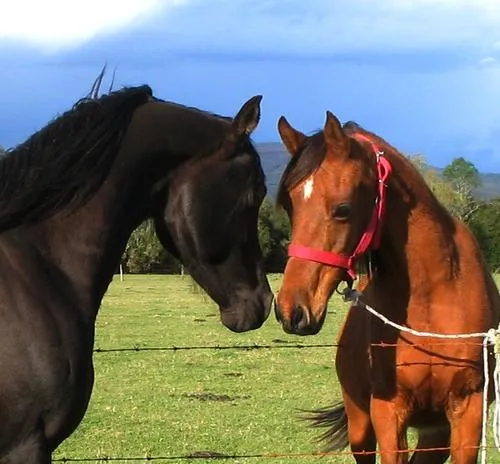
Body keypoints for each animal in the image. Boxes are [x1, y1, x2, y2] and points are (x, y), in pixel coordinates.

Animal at [276, 113, 498, 464]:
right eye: (290, 206)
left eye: (343, 209)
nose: (291, 311)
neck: (434, 292)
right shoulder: (388, 411)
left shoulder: (467, 411)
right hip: (360, 426)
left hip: (436, 435)